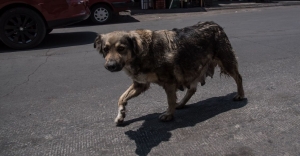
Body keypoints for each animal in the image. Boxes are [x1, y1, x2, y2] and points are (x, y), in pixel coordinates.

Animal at [95, 21, 245, 125]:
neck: (142, 51)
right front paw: (121, 115)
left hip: (226, 62)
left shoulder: (169, 82)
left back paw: (240, 94)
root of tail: (216, 25)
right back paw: (182, 103)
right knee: (192, 89)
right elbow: (121, 98)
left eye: (121, 48)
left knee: (239, 77)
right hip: (192, 68)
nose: (110, 66)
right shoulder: (140, 84)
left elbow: (170, 100)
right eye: (106, 49)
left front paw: (168, 114)